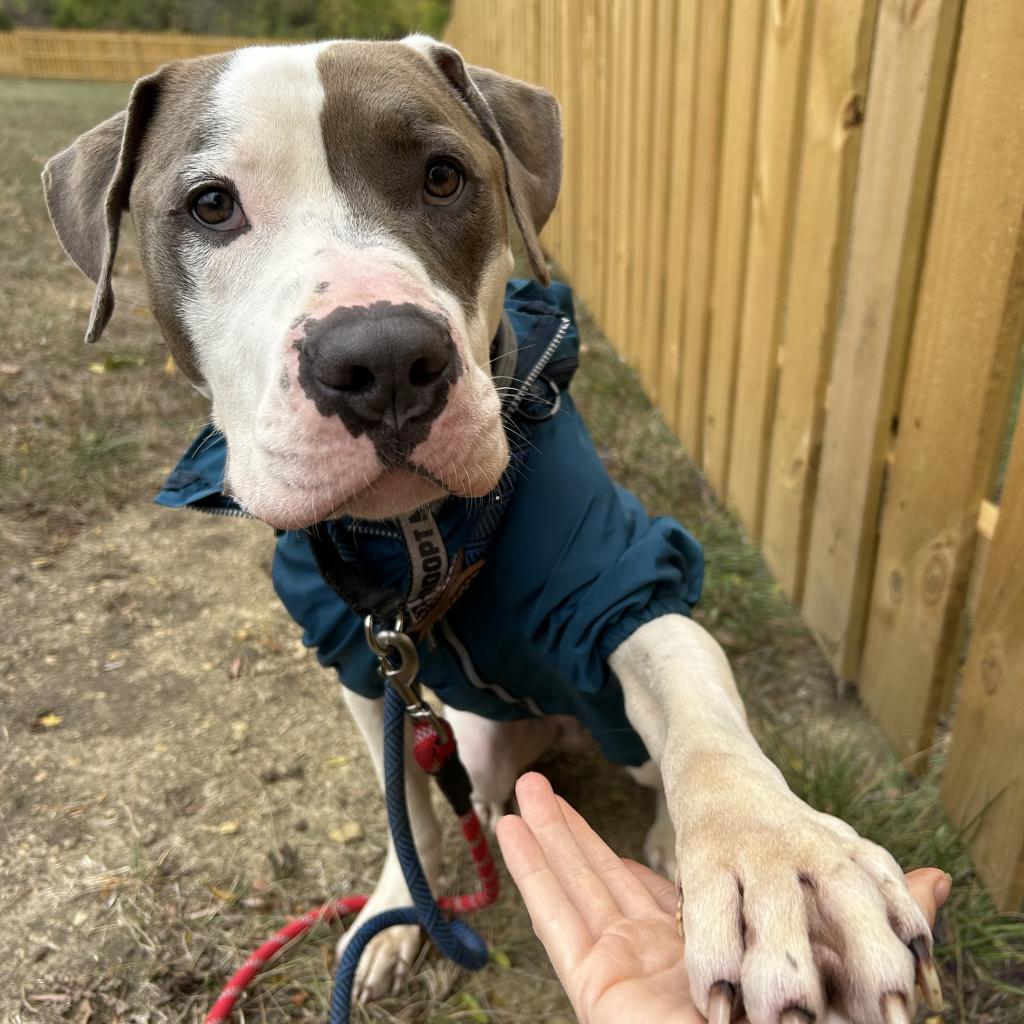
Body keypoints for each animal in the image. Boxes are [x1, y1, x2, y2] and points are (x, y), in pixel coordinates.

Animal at [46, 34, 942, 1024]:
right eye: (210, 205)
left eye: (444, 177)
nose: (383, 357)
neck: (415, 546)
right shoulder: (360, 662)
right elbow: (407, 807)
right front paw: (399, 908)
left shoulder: (621, 591)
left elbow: (704, 726)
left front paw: (781, 860)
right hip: (474, 739)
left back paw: (671, 840)